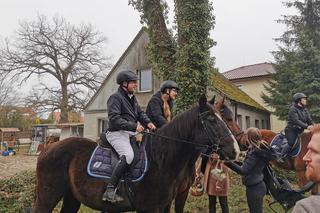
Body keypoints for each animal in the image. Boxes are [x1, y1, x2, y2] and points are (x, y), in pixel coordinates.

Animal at [34, 96, 240, 213]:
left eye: (224, 118)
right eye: (212, 120)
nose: (236, 150)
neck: (162, 159)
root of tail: (47, 149)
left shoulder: (167, 203)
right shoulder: (150, 207)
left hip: (71, 198)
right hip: (48, 197)